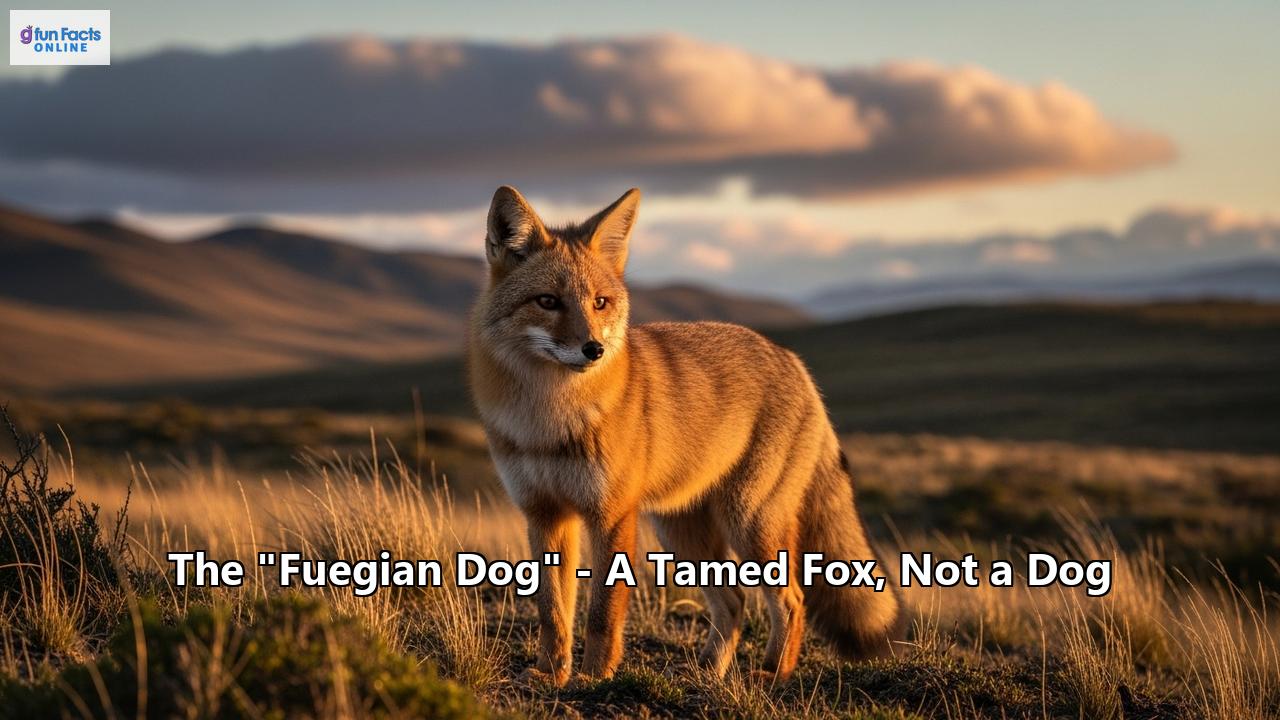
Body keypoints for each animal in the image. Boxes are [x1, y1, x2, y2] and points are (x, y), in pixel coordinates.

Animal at [468, 185, 902, 686]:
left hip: (749, 523)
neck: (547, 423)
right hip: (685, 535)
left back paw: (773, 675)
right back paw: (710, 675)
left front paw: (595, 678)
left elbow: (601, 613)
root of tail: (793, 361)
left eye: (600, 302)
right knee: (734, 602)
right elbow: (552, 613)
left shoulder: (611, 515)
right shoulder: (543, 513)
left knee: (792, 601)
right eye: (548, 301)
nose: (594, 349)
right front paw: (551, 675)